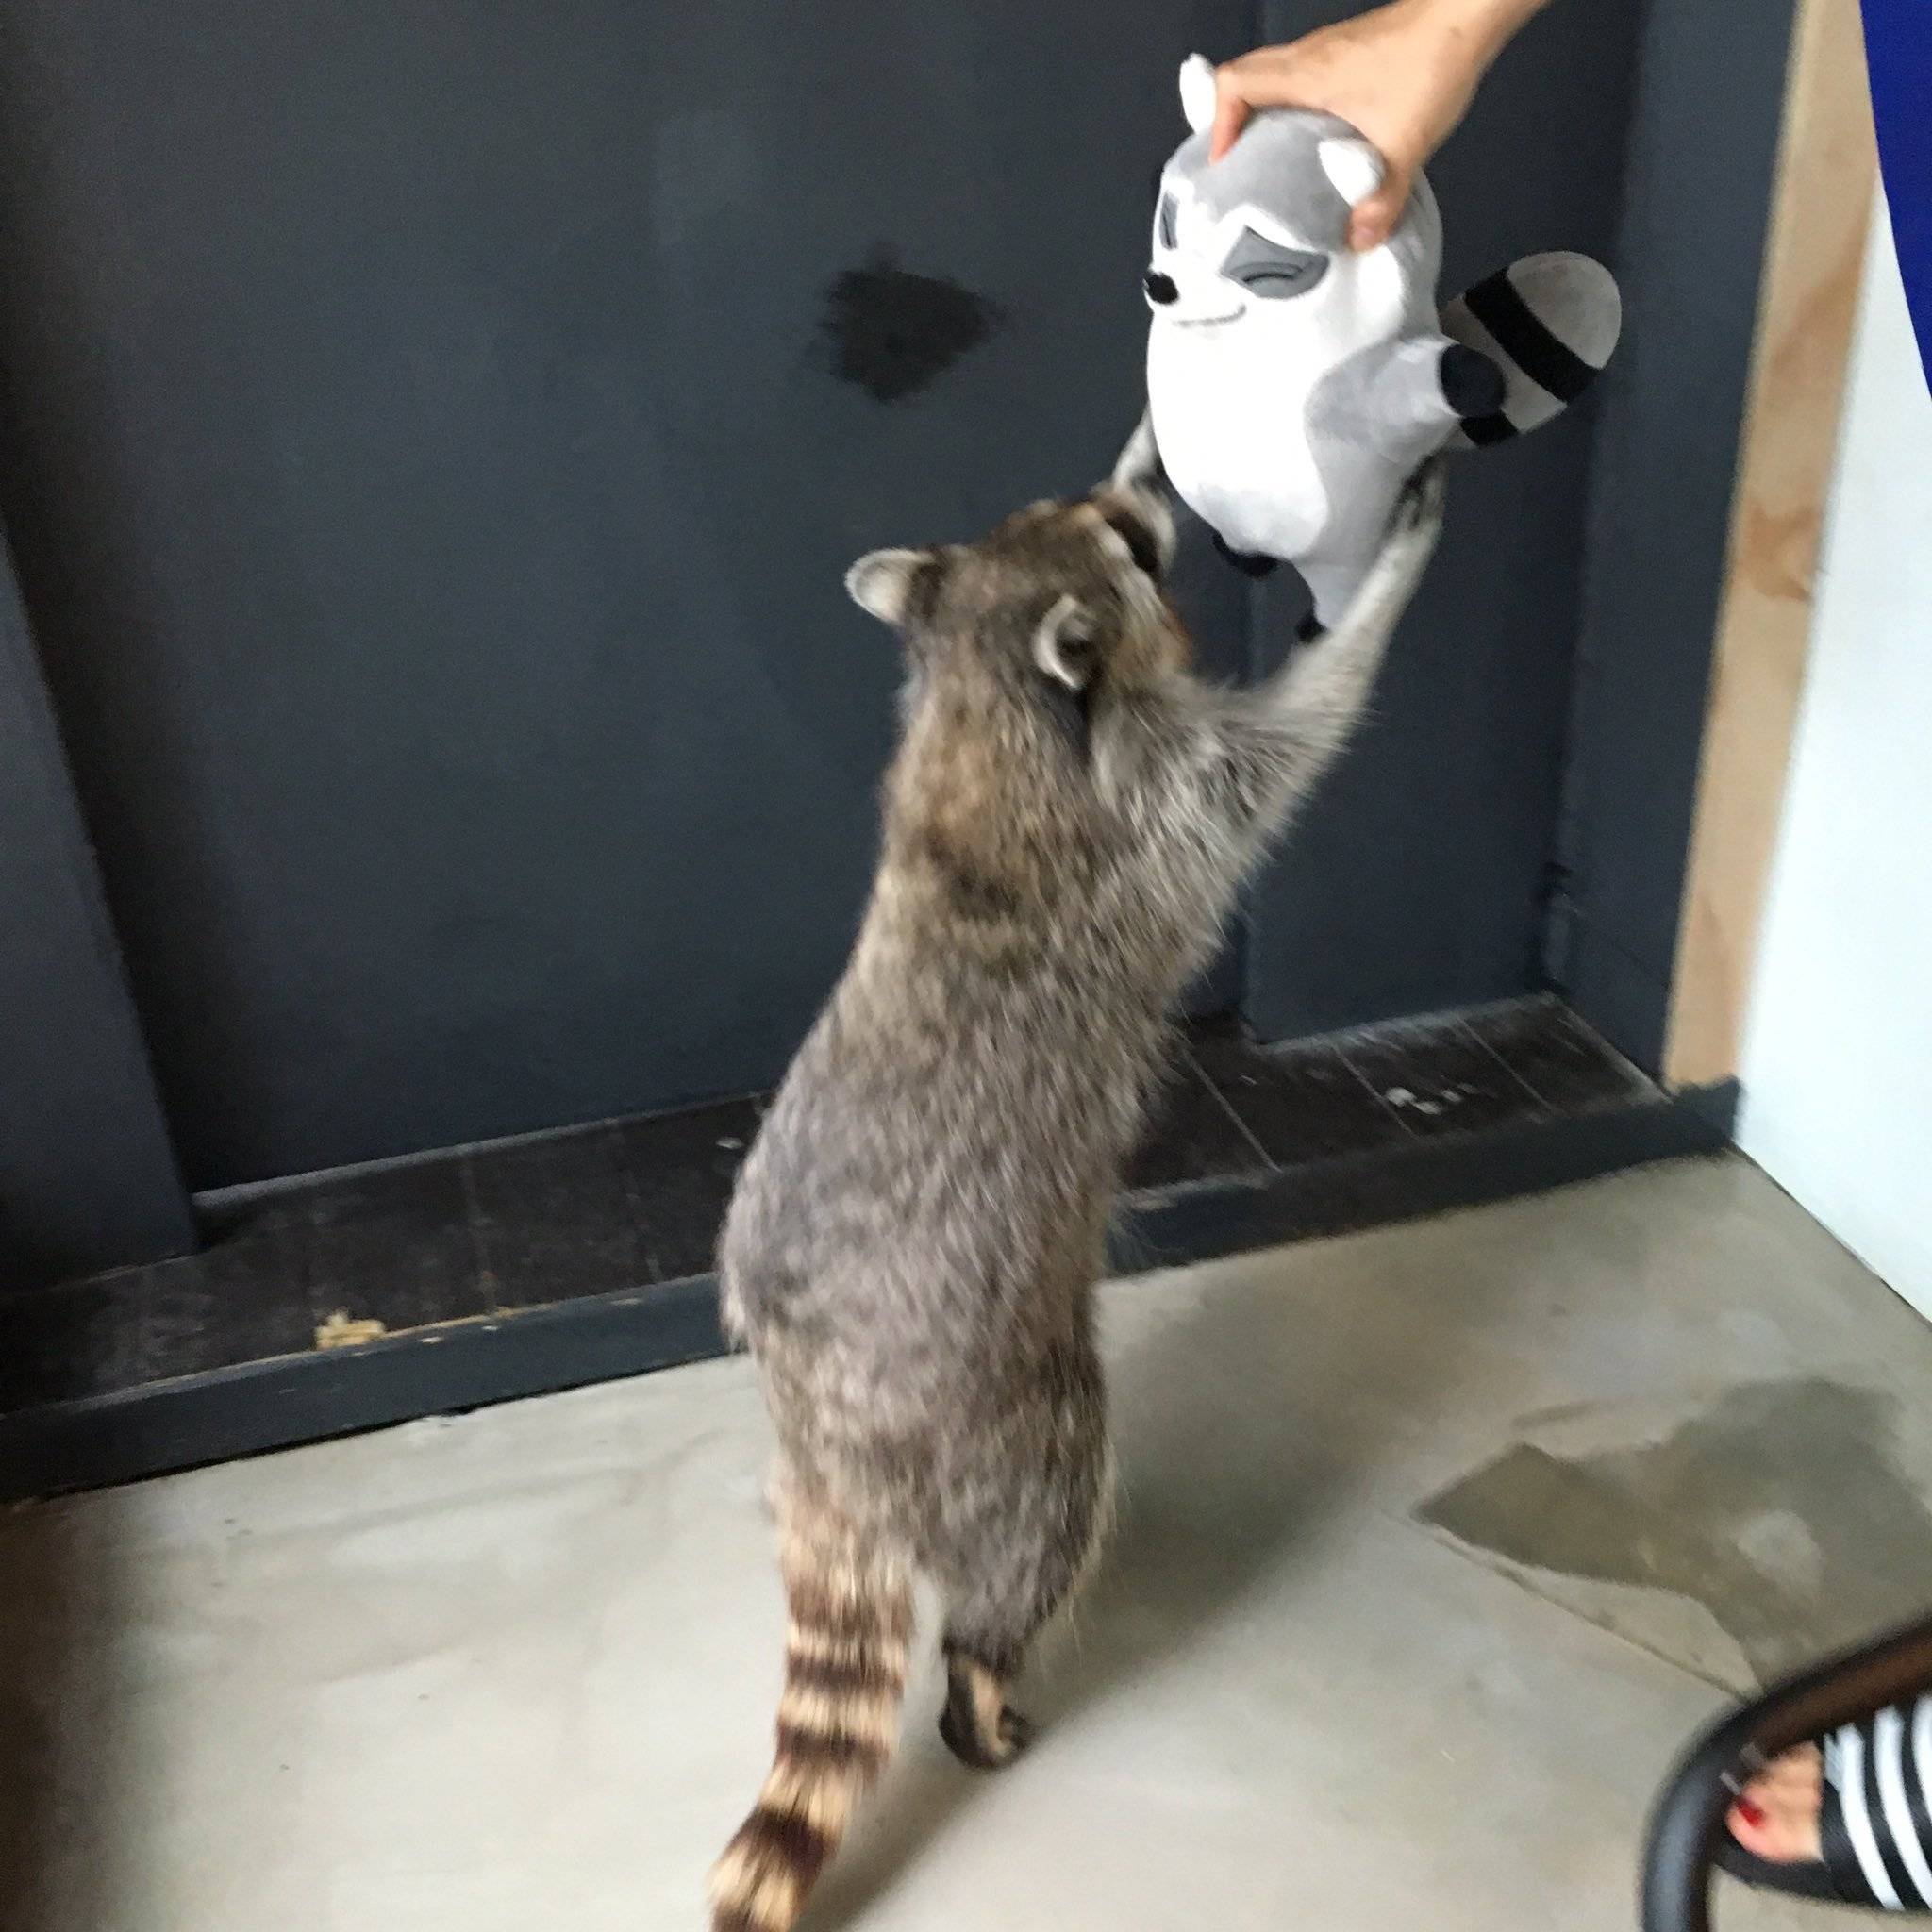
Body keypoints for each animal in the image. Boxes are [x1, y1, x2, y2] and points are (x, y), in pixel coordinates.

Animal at [703, 456, 1444, 1932]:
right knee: (1042, 1528)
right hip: (1006, 1411)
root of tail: (829, 1423)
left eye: (1096, 511)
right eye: (1130, 550)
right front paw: (1381, 584)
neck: (986, 693)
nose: (1153, 499)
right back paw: (983, 1678)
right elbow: (1291, 738)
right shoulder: (1160, 800)